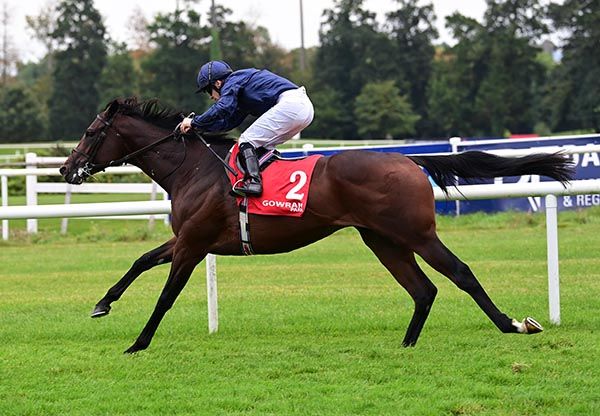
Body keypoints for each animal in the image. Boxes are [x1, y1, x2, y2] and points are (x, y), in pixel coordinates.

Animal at [59, 98, 572, 354]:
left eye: (90, 132)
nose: (67, 169)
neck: (192, 168)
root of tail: (410, 159)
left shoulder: (193, 243)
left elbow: (165, 296)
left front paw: (138, 343)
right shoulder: (187, 239)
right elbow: (140, 260)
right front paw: (102, 304)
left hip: (416, 234)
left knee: (460, 274)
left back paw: (513, 325)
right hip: (382, 239)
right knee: (423, 289)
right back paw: (406, 345)